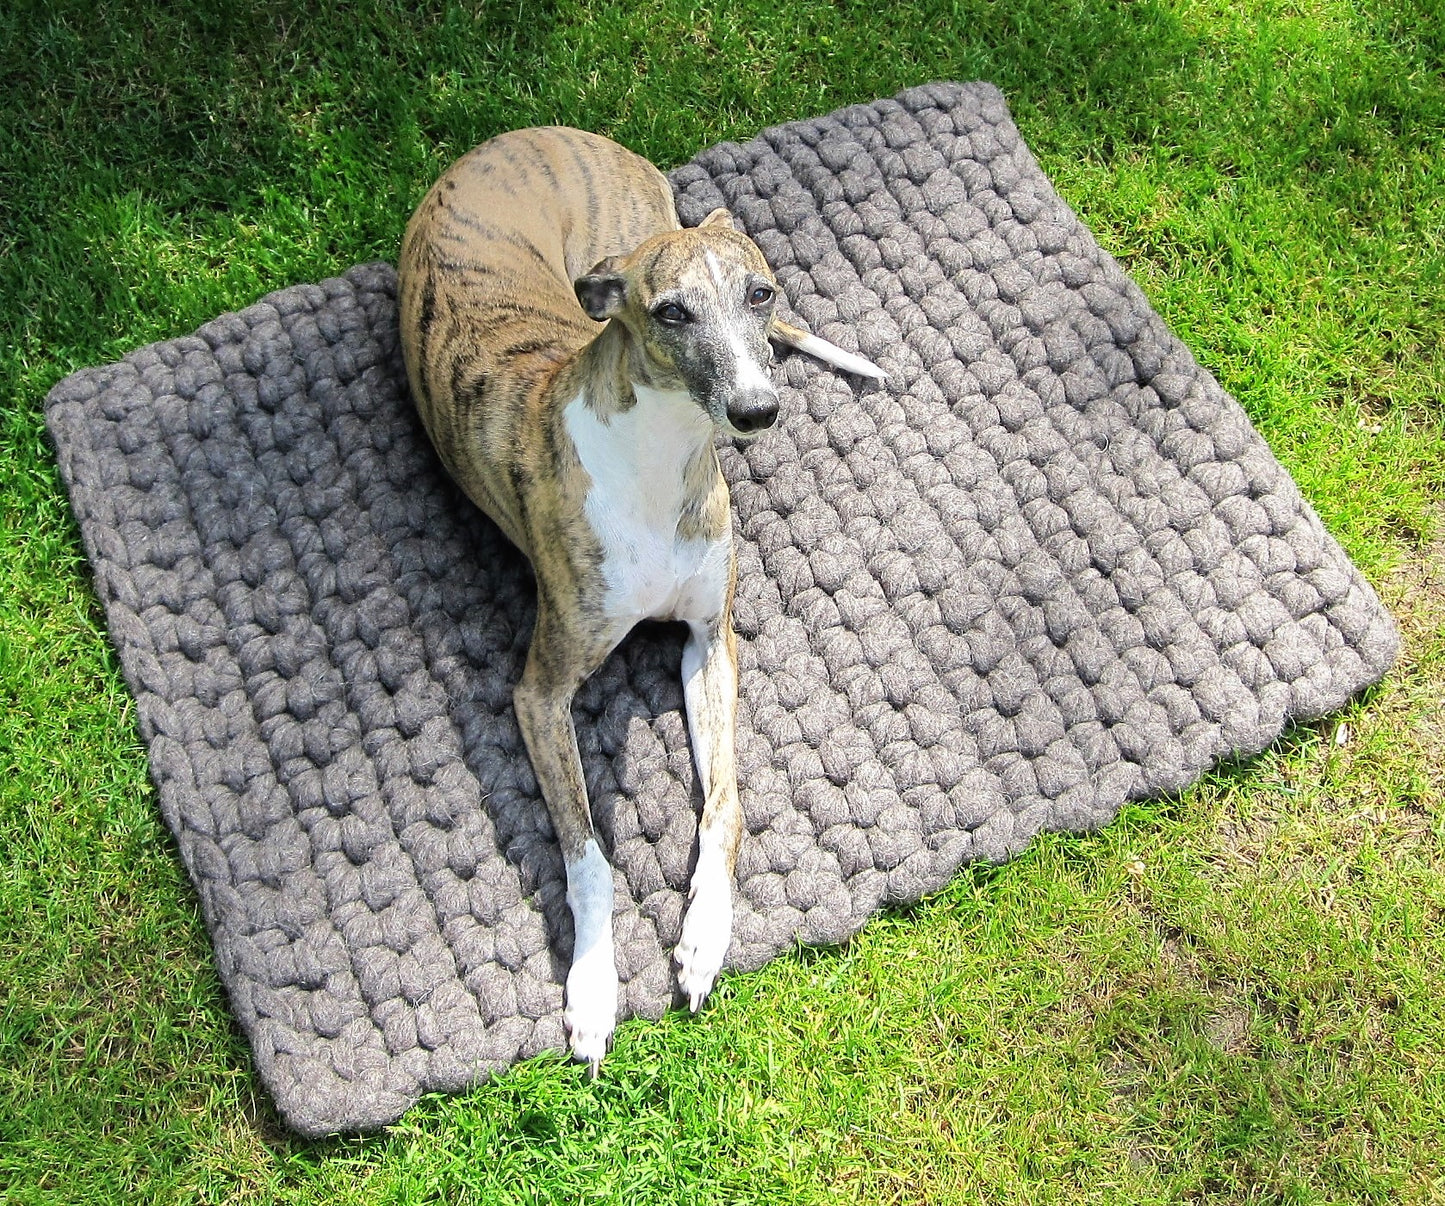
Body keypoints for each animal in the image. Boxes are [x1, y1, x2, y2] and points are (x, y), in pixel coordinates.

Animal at [401, 124, 884, 1074]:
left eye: (758, 291)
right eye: (670, 314)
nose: (757, 412)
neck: (662, 459)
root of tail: (529, 134)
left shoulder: (709, 640)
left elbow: (726, 805)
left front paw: (704, 939)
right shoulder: (541, 690)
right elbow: (586, 849)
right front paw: (591, 989)